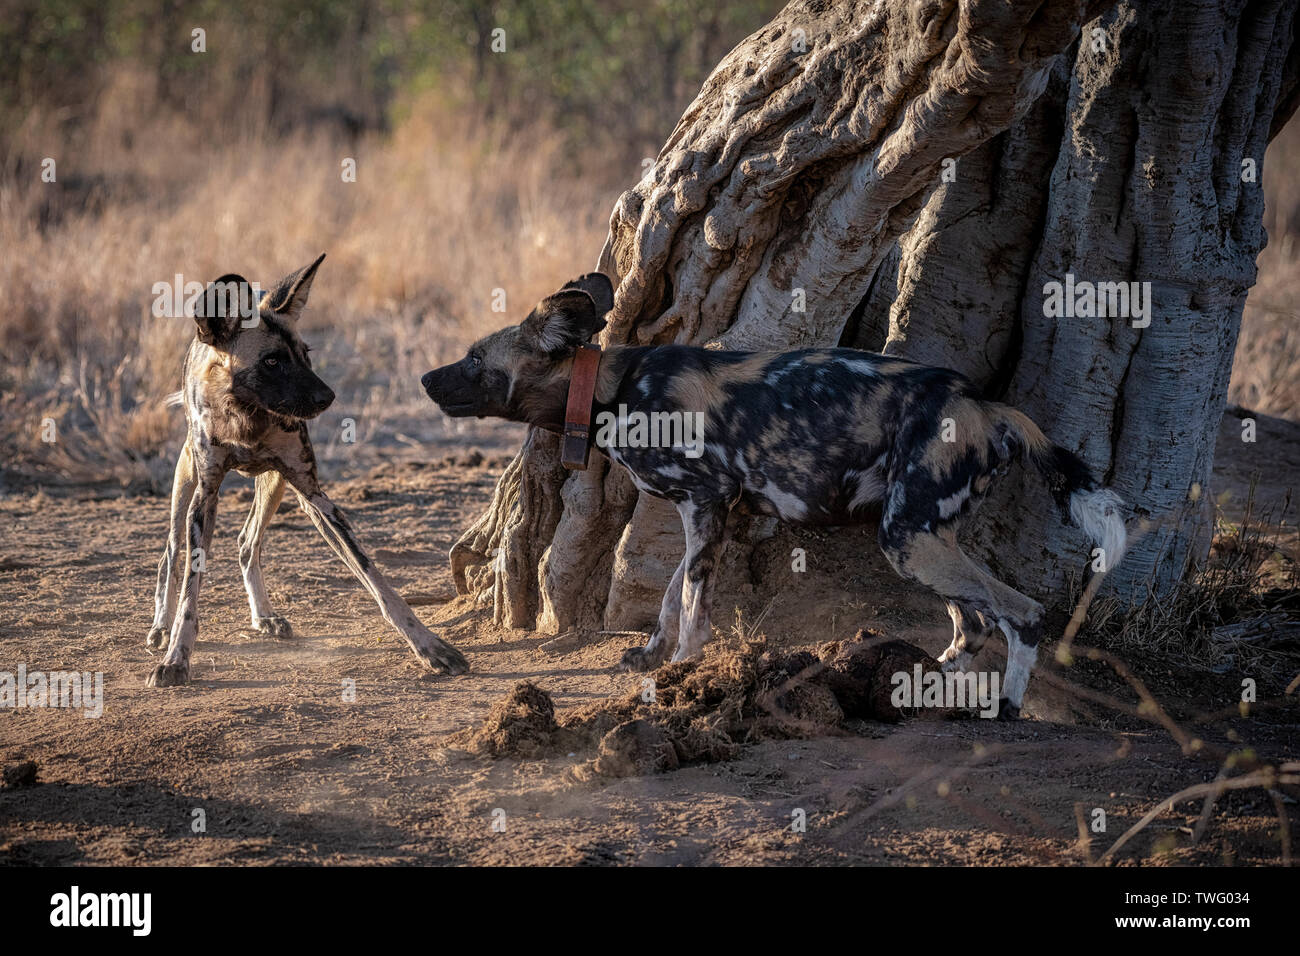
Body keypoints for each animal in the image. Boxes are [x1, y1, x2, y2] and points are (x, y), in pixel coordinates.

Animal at [145, 254, 470, 686]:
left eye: (305, 354)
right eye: (272, 361)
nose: (327, 397)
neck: (247, 414)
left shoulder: (315, 495)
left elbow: (377, 581)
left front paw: (429, 646)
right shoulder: (206, 496)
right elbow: (190, 592)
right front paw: (176, 658)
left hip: (277, 485)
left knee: (247, 542)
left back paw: (264, 617)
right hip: (186, 483)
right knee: (171, 553)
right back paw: (160, 628)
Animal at [421, 273, 1123, 712]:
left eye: (476, 360)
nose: (427, 379)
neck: (613, 388)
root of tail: (986, 405)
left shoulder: (704, 502)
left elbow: (693, 604)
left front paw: (682, 668)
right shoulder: (708, 514)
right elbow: (673, 592)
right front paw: (651, 655)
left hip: (908, 541)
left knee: (1021, 613)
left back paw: (1006, 704)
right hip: (923, 538)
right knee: (973, 622)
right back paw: (924, 681)